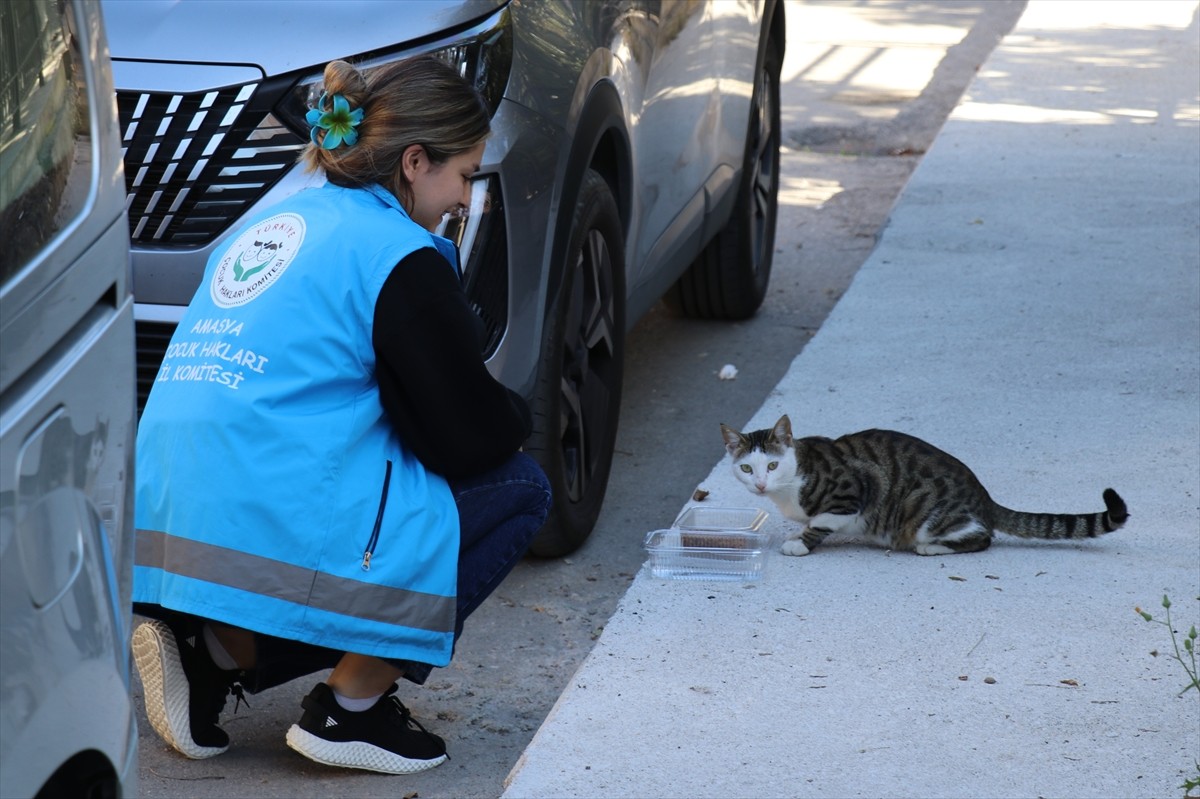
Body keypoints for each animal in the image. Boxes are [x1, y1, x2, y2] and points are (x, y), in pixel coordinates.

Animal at [720, 417, 1123, 554]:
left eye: (772, 465)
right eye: (747, 468)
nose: (759, 484)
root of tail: (985, 497)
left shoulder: (852, 493)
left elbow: (820, 522)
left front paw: (800, 544)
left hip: (926, 514)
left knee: (982, 538)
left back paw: (932, 548)